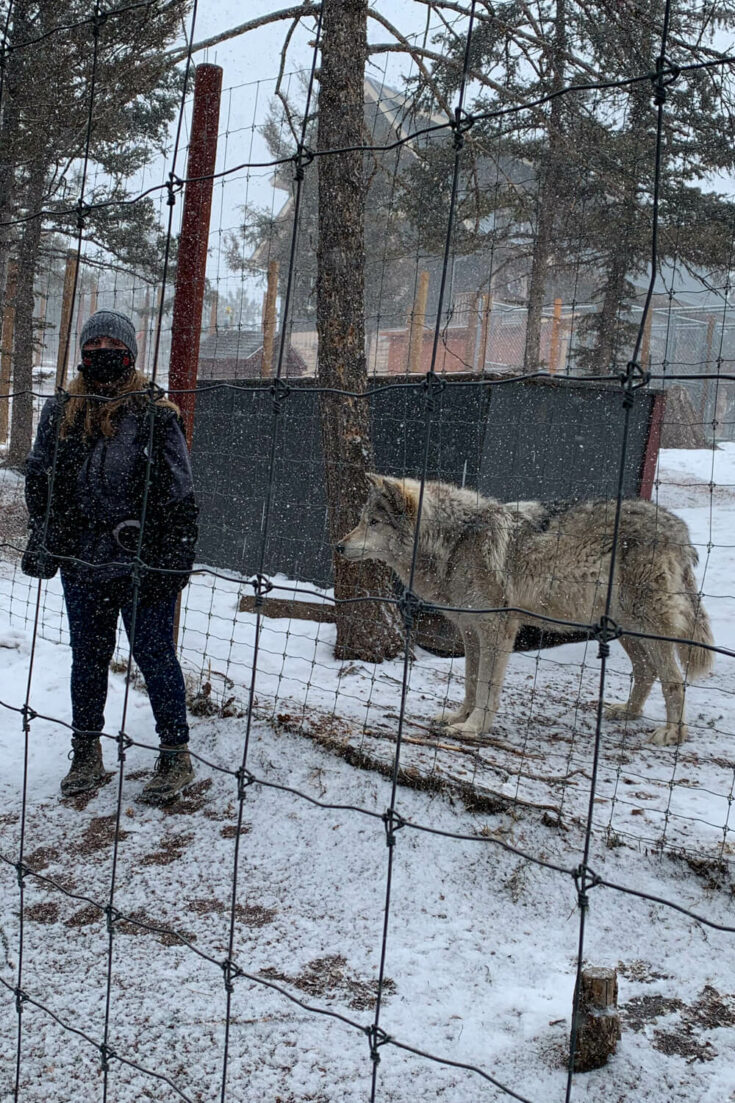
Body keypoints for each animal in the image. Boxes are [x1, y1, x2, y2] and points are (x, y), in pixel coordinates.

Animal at [337, 476, 710, 745]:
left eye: (374, 522)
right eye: (361, 520)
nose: (338, 546)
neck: (454, 542)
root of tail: (681, 528)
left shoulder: (497, 631)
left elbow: (487, 685)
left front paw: (474, 728)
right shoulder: (470, 631)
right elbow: (470, 682)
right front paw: (459, 717)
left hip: (647, 626)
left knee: (674, 680)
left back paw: (673, 734)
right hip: (626, 627)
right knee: (646, 670)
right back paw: (628, 712)